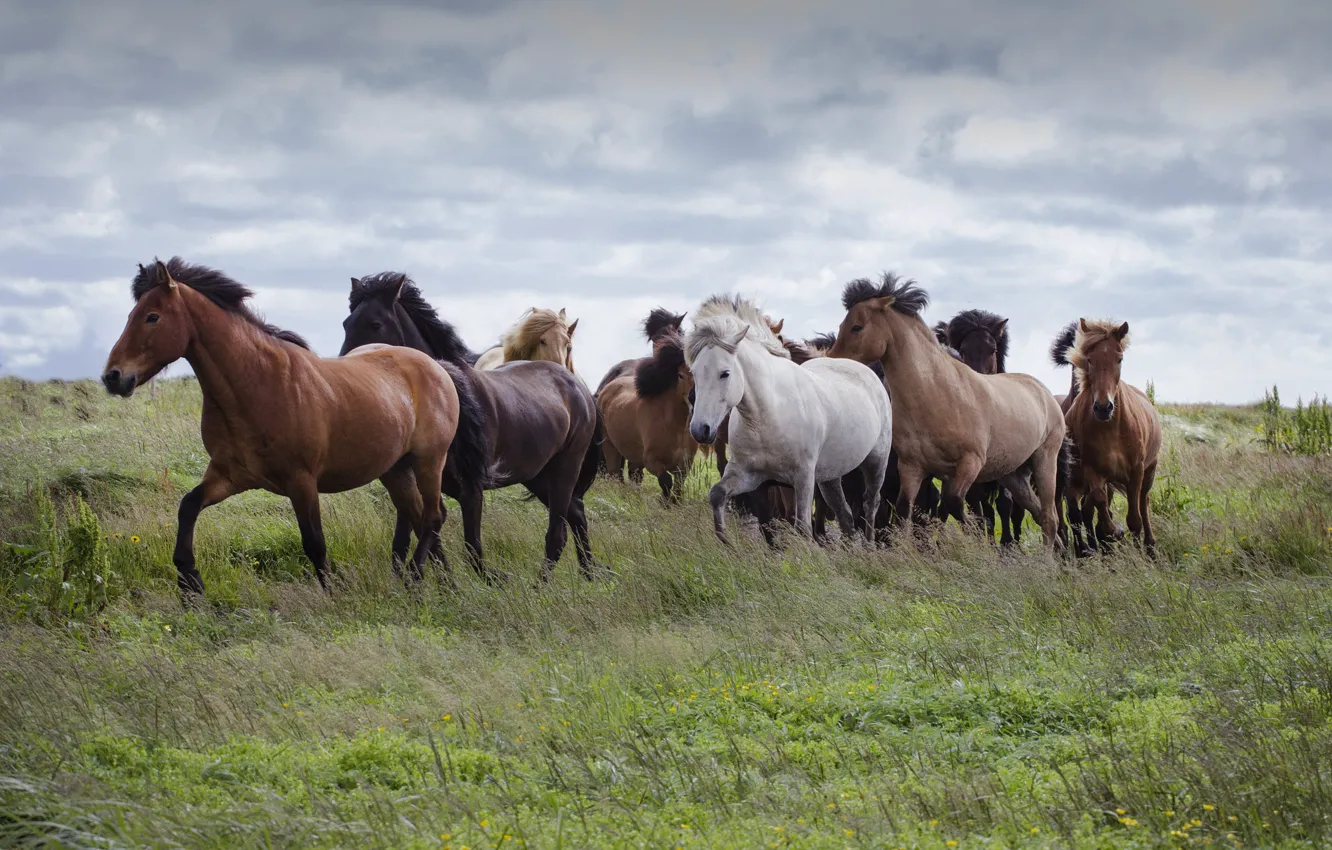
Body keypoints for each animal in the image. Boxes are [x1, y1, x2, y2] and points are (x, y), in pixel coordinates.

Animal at [101, 258, 464, 601]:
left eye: (152, 317)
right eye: (133, 314)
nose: (113, 377)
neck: (257, 385)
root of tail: (435, 367)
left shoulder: (301, 480)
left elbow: (314, 542)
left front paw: (334, 597)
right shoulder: (229, 476)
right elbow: (188, 507)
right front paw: (190, 586)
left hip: (429, 460)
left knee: (432, 517)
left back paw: (417, 580)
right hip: (395, 469)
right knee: (421, 516)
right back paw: (445, 585)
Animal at [339, 273, 602, 583]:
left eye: (375, 324)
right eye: (346, 322)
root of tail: (578, 386)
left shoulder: (471, 487)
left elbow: (471, 548)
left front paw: (490, 581)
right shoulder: (413, 480)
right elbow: (409, 538)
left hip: (565, 467)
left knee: (557, 533)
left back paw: (544, 586)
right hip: (537, 475)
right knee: (576, 513)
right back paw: (589, 574)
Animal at [596, 313, 698, 503]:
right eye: (680, 375)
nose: (694, 401)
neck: (676, 426)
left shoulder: (684, 466)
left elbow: (678, 489)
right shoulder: (652, 462)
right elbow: (666, 482)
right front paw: (664, 502)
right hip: (610, 447)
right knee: (615, 475)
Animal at [685, 294, 893, 543]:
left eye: (724, 373)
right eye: (694, 373)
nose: (700, 430)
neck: (766, 418)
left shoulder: (802, 478)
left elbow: (802, 526)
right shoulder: (748, 475)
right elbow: (717, 494)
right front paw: (726, 541)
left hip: (876, 462)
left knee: (870, 503)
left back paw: (869, 546)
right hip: (830, 476)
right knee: (845, 514)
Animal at [1059, 319, 1162, 556]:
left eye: (1119, 358)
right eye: (1089, 359)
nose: (1103, 407)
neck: (1111, 429)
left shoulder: (1136, 470)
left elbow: (1135, 518)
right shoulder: (1094, 472)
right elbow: (1098, 506)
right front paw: (1114, 532)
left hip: (1149, 471)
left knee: (1144, 502)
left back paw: (1150, 546)